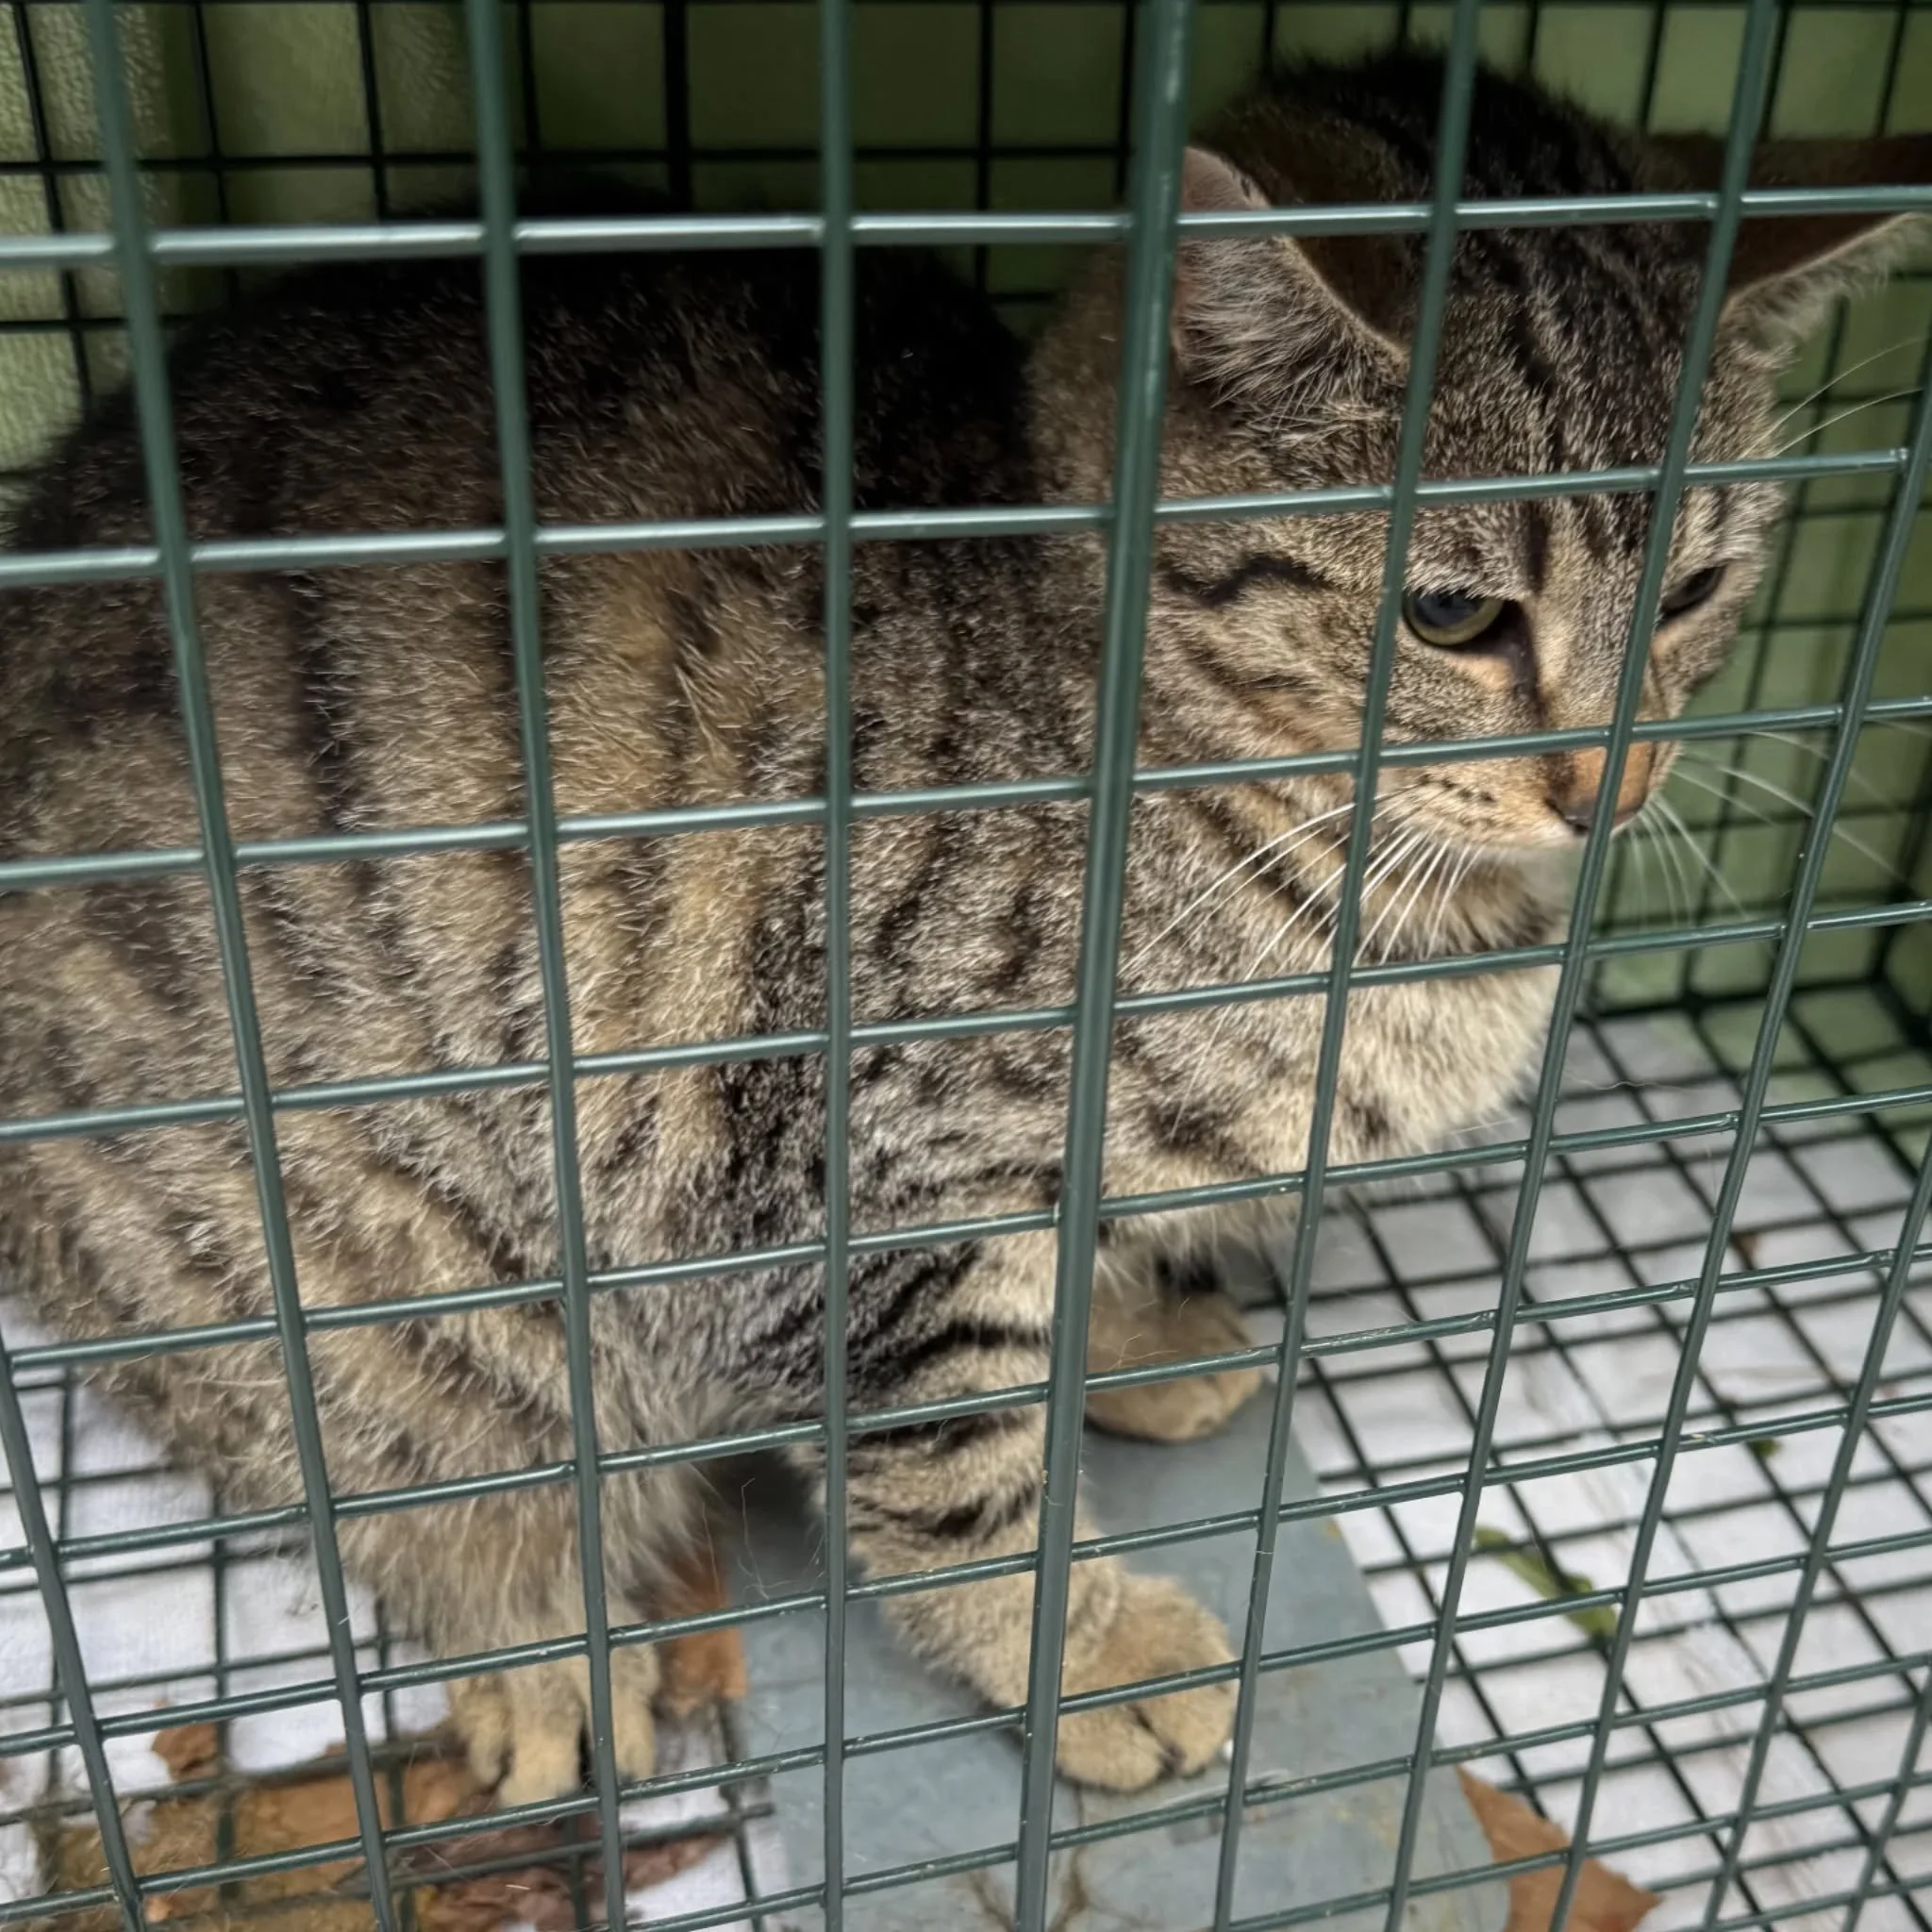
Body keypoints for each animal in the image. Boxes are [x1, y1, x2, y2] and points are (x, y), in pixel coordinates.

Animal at [0, 50, 1924, 1806]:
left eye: (1693, 590)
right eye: (1453, 615)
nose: (1607, 784)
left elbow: (1091, 1273)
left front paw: (1127, 1340)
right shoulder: (852, 1177)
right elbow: (955, 1478)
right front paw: (1092, 1655)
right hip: (387, 1272)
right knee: (436, 1478)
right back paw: (539, 1653)